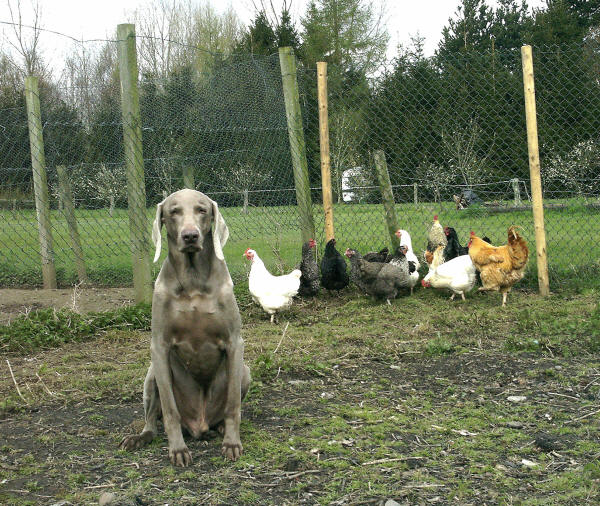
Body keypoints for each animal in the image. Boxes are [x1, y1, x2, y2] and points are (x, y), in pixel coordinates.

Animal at [119, 189, 251, 466]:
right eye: (174, 211)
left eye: (202, 210)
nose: (190, 236)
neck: (193, 281)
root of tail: (199, 425)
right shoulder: (159, 346)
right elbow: (169, 411)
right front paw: (178, 449)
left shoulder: (235, 343)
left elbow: (233, 405)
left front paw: (232, 443)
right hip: (151, 375)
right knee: (152, 420)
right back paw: (140, 437)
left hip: (244, 371)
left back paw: (219, 428)